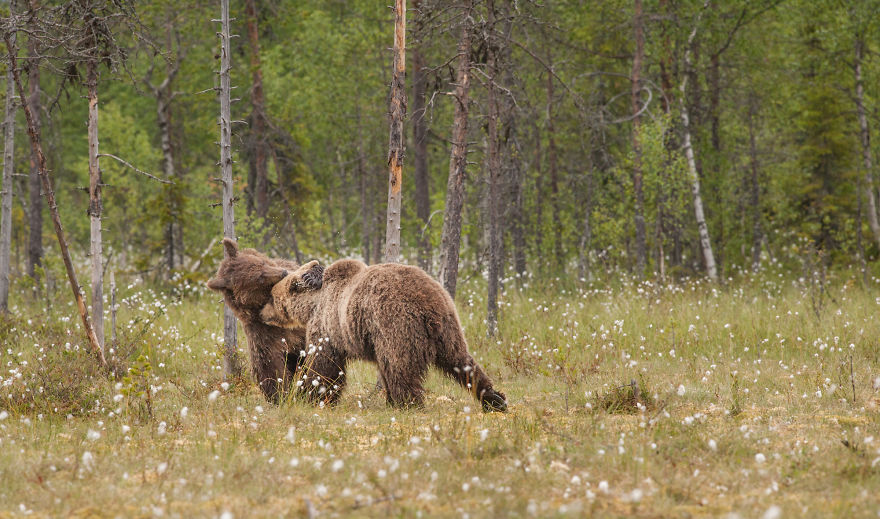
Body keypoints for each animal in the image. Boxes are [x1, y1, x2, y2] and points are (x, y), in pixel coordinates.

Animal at [206, 238, 306, 403]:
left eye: (262, 262)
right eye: (259, 277)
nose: (283, 272)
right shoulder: (263, 332)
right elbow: (269, 365)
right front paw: (278, 395)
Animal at [259, 259, 508, 412]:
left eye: (271, 297)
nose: (261, 314)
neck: (314, 304)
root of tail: (429, 306)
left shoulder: (329, 326)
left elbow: (324, 365)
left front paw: (308, 395)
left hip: (396, 324)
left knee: (401, 368)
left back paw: (409, 403)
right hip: (448, 328)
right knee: (461, 361)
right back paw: (494, 399)